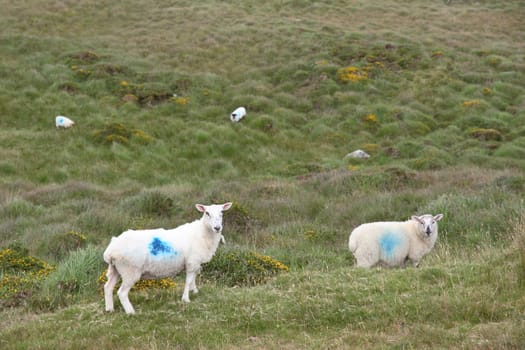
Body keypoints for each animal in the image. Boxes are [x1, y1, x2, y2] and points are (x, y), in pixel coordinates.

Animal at [102, 202, 231, 314]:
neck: (202, 233)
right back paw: (130, 312)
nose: (217, 228)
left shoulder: (195, 263)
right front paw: (186, 299)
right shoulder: (192, 262)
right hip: (130, 270)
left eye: (221, 213)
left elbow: (194, 277)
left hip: (115, 269)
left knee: (108, 287)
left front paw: (194, 291)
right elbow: (188, 280)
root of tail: (111, 249)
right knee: (122, 293)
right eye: (207, 213)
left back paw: (109, 309)